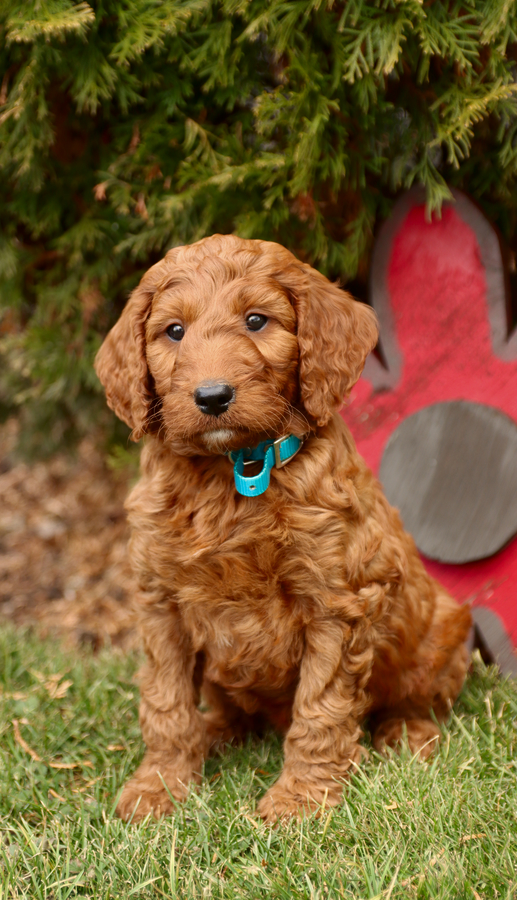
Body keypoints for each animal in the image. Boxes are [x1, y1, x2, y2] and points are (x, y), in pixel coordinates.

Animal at [94, 234, 470, 824]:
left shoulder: (338, 602)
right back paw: (216, 733)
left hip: (439, 634)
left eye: (256, 321)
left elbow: (321, 708)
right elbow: (167, 702)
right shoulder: (160, 602)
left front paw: (300, 801)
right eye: (174, 331)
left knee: (415, 698)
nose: (212, 396)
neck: (234, 473)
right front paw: (160, 786)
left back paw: (406, 733)